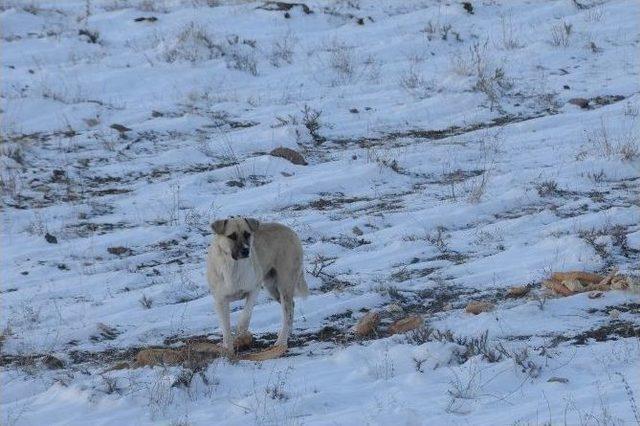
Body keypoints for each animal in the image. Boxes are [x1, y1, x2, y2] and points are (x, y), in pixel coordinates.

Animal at [206, 216, 308, 352]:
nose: (245, 250)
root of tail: (290, 231)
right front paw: (228, 349)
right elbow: (225, 327)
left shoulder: (254, 289)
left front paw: (241, 332)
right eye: (232, 236)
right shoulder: (220, 300)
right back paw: (288, 333)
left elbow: (245, 316)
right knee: (292, 305)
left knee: (287, 311)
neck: (234, 267)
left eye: (247, 234)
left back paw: (281, 340)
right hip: (272, 288)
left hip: (284, 285)